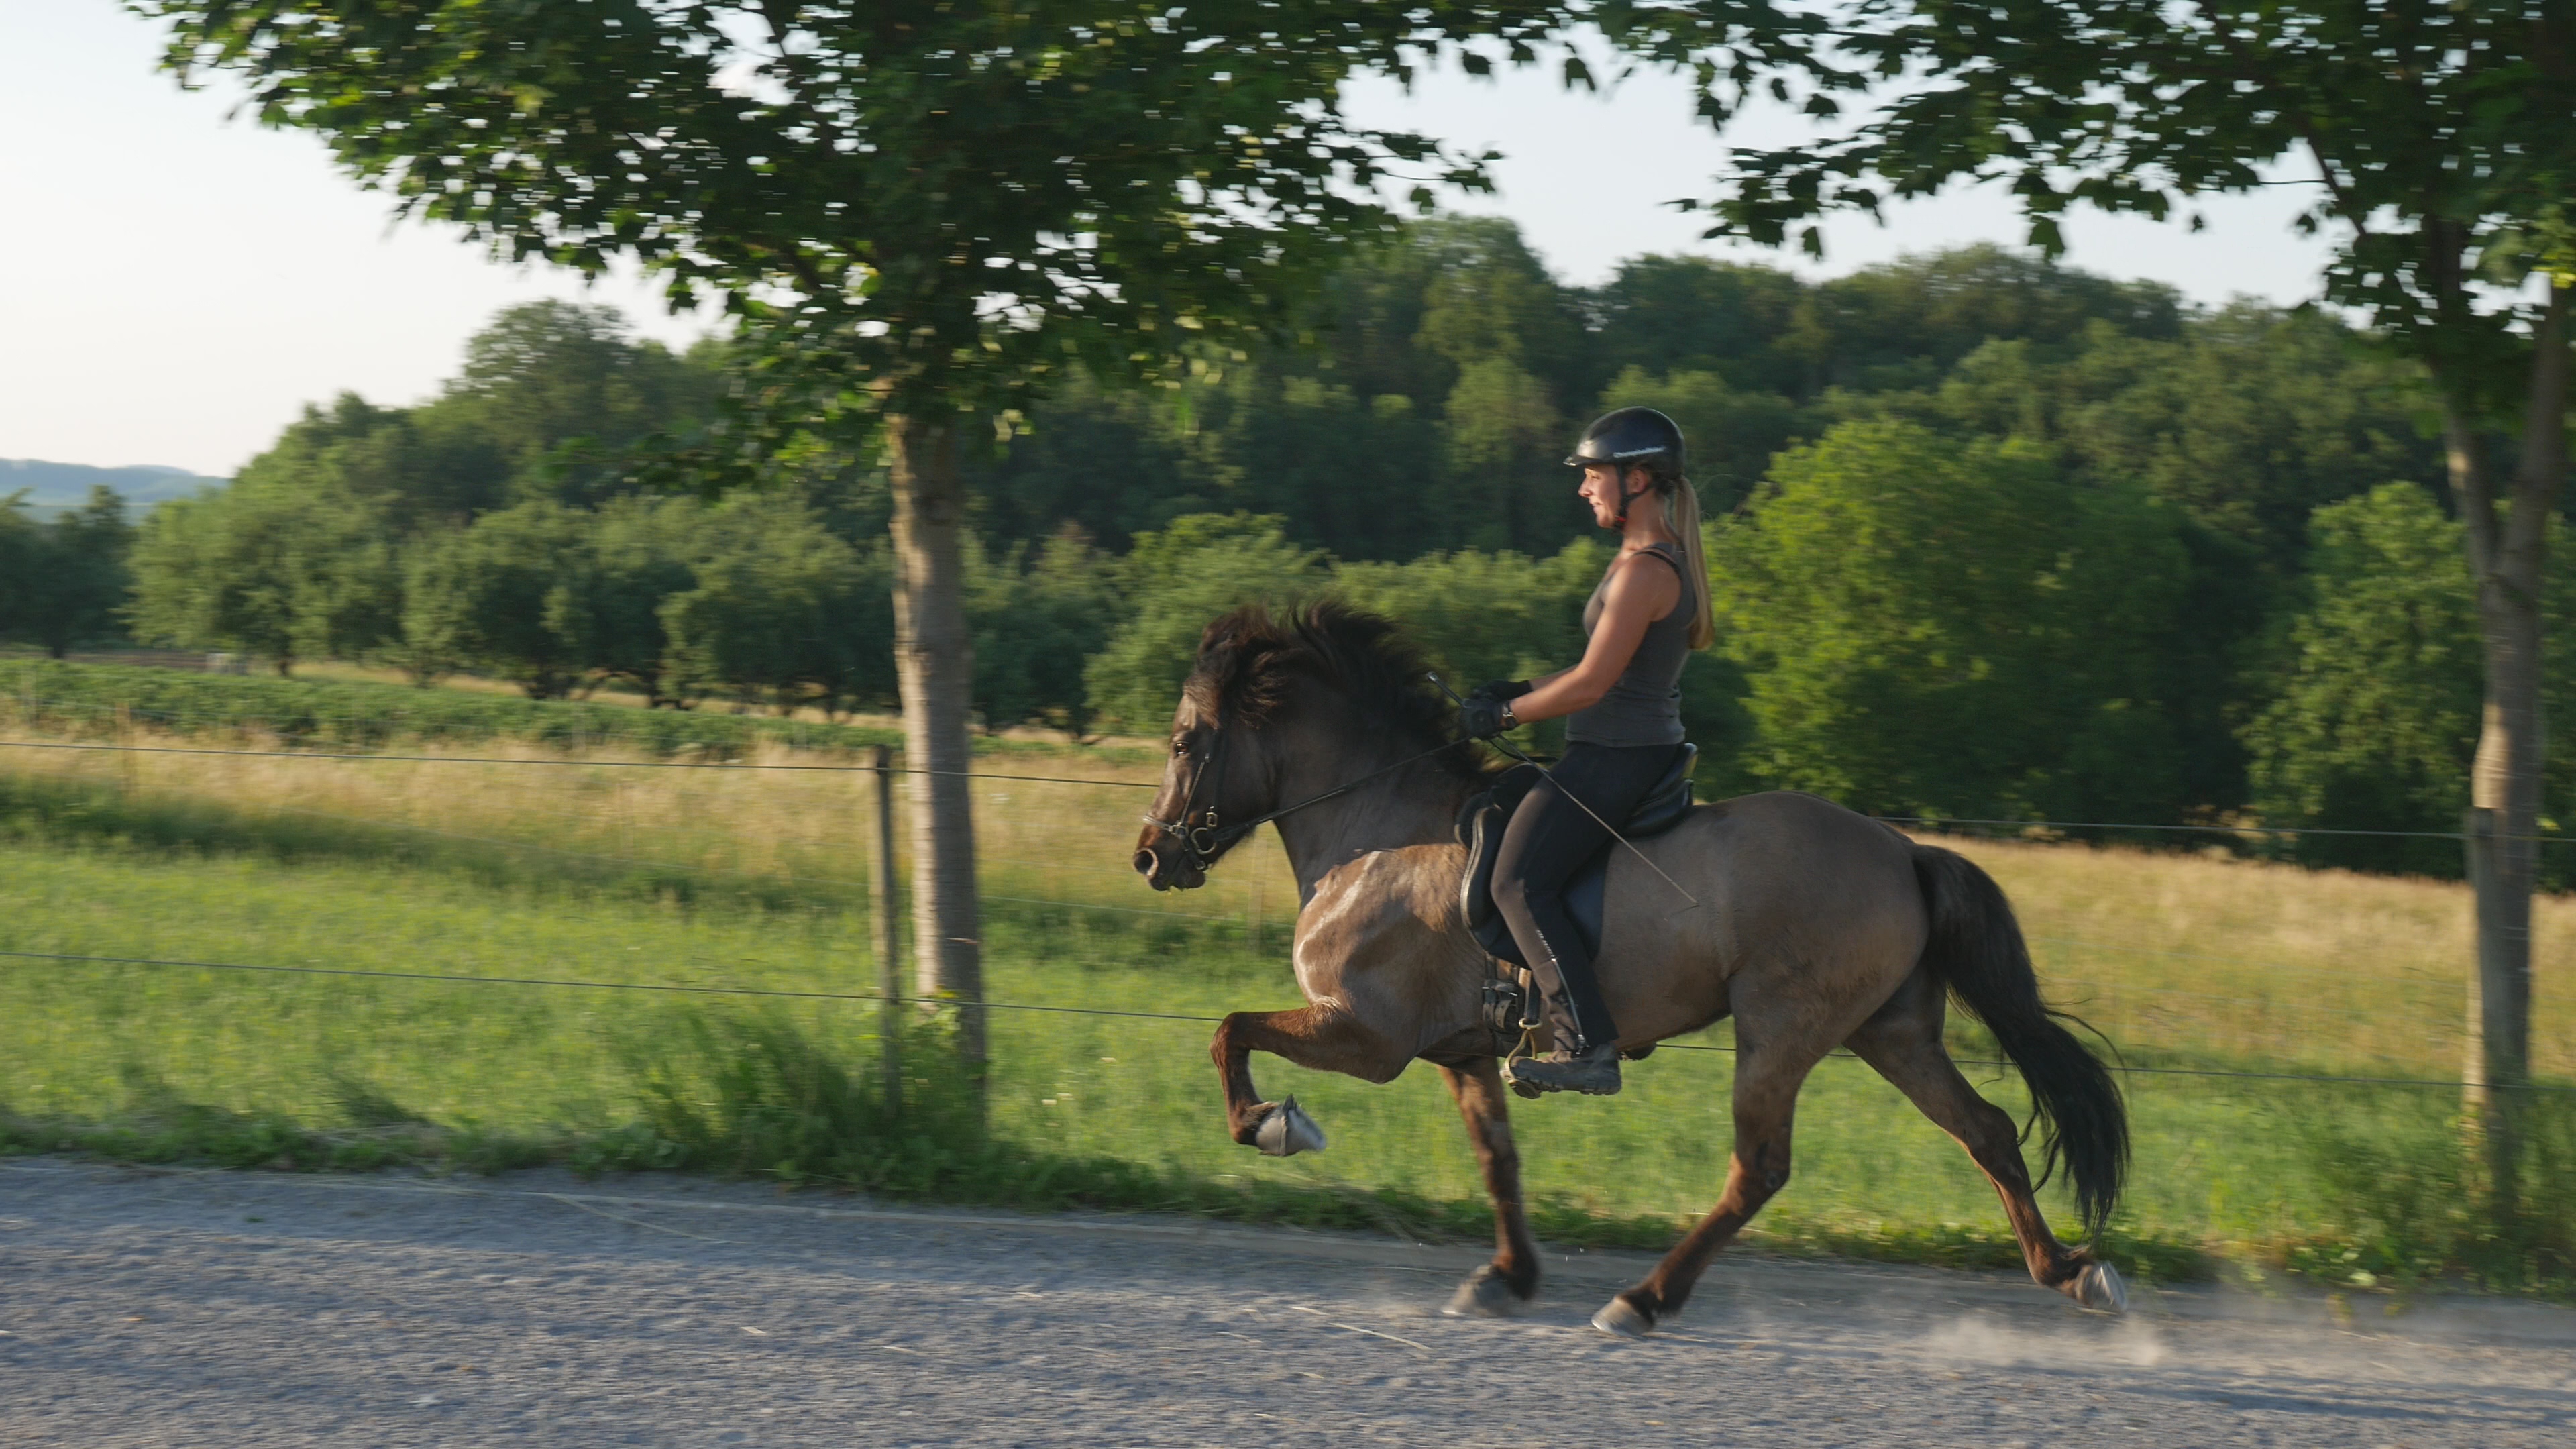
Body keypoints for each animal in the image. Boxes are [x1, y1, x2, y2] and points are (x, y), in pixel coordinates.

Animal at [1129, 603, 2131, 1336]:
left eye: (1182, 743)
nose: (1150, 856)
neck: (1376, 834)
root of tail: (1903, 851)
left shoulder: (1368, 1034)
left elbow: (1229, 1032)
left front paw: (1274, 1125)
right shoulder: (1462, 1051)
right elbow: (1497, 1159)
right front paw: (1506, 1278)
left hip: (1781, 1030)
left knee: (1760, 1167)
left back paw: (1643, 1300)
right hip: (1892, 1032)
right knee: (1987, 1132)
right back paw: (2073, 1273)